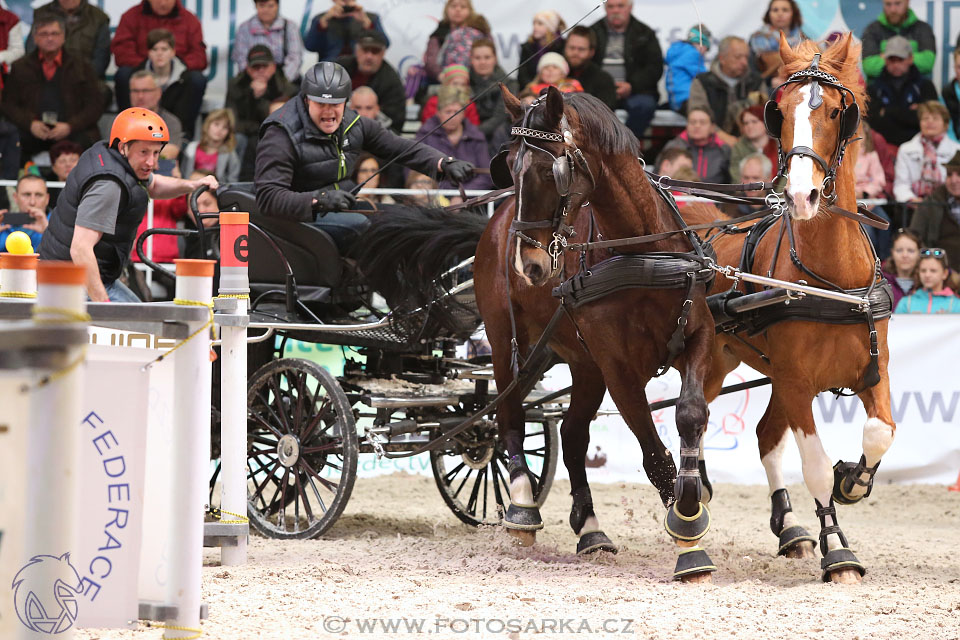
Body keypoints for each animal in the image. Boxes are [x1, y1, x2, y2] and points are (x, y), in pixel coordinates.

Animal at [684, 35, 892, 584]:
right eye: (779, 111)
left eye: (839, 111)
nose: (802, 194)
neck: (834, 279)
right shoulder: (798, 382)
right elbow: (814, 465)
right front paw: (838, 551)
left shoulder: (873, 369)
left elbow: (880, 432)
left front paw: (853, 481)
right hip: (719, 361)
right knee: (697, 417)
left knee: (762, 434)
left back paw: (790, 526)